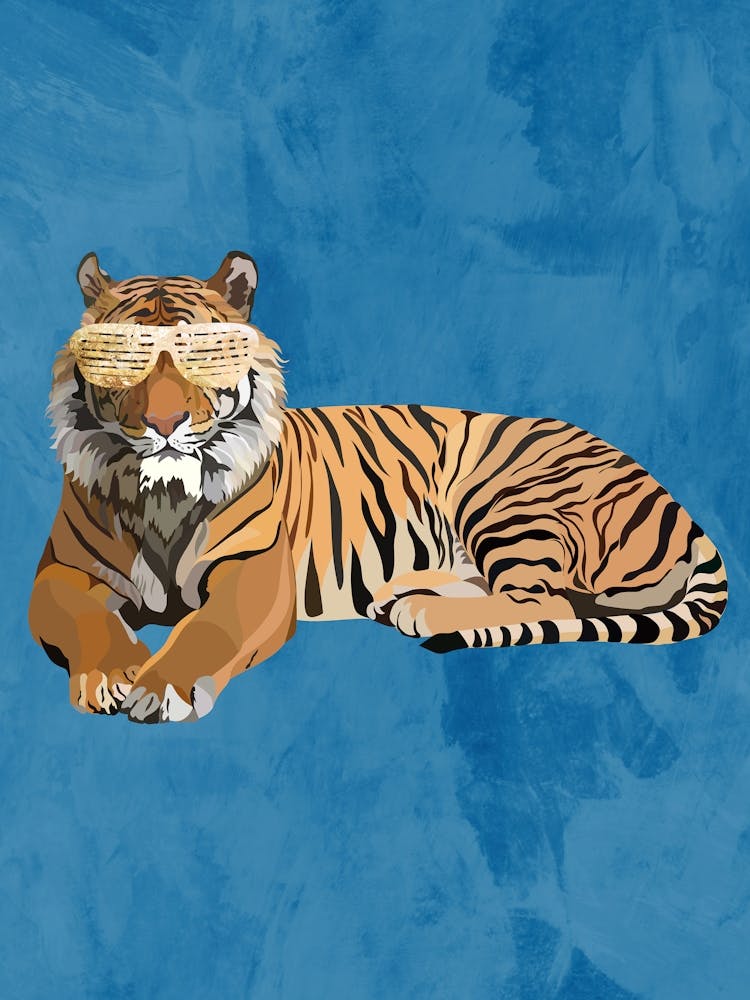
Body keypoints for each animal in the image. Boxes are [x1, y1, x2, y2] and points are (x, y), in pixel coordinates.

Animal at [28, 251, 728, 723]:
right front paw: (112, 674)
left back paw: (427, 612)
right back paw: (407, 597)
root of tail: (667, 495)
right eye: (123, 358)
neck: (164, 497)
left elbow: (208, 630)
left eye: (204, 354)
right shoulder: (62, 571)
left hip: (508, 494)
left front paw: (160, 686)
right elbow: (87, 619)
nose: (165, 423)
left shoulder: (255, 575)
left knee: (548, 603)